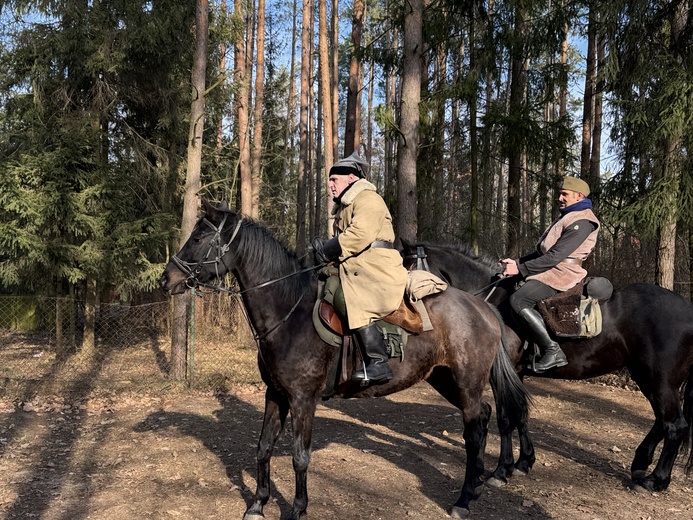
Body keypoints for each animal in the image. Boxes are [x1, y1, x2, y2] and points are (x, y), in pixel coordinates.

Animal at [159, 202, 528, 520]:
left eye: (198, 238)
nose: (166, 279)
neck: (288, 311)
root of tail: (482, 306)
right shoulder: (275, 394)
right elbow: (263, 447)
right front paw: (258, 504)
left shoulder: (303, 399)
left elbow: (300, 457)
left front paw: (297, 509)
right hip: (445, 379)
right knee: (484, 416)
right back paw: (477, 485)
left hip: (467, 382)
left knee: (475, 430)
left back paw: (464, 499)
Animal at [398, 240, 692, 492]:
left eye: (406, 266)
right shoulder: (516, 375)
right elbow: (521, 416)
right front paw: (523, 462)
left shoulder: (501, 375)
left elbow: (505, 419)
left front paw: (501, 471)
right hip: (647, 378)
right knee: (662, 421)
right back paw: (641, 464)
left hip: (660, 381)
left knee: (675, 426)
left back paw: (656, 480)